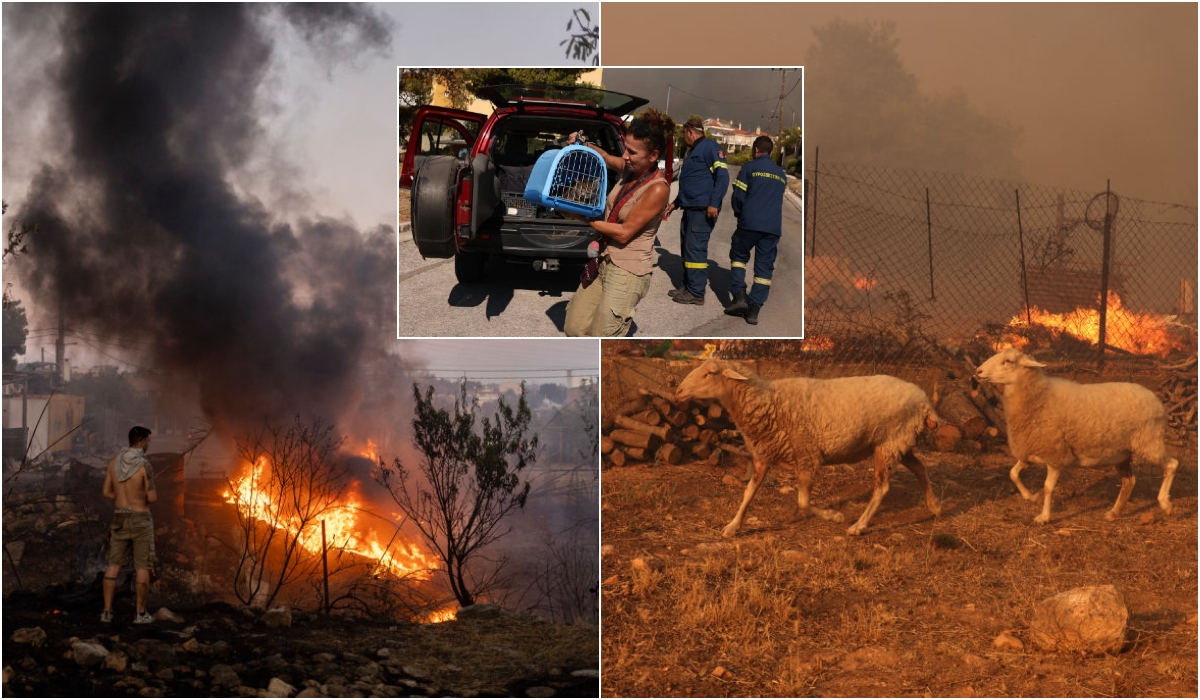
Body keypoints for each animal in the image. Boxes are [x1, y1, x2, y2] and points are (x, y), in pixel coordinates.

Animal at [676, 357, 936, 540]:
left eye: (709, 374)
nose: (678, 391)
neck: (768, 401)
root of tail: (925, 401)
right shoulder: (763, 455)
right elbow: (748, 493)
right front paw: (732, 526)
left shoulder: (807, 457)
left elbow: (802, 503)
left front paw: (835, 516)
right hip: (899, 442)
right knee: (920, 468)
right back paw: (934, 507)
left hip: (889, 443)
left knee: (882, 487)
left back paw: (858, 526)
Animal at [969, 348, 1176, 523]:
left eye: (1008, 361)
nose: (978, 372)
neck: (1039, 397)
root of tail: (1156, 399)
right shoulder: (1030, 452)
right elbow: (1012, 473)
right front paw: (1031, 497)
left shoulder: (1055, 455)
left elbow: (1048, 487)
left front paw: (1044, 516)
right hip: (1122, 453)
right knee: (1129, 481)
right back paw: (1113, 513)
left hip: (1149, 442)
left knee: (1172, 465)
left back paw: (1165, 505)